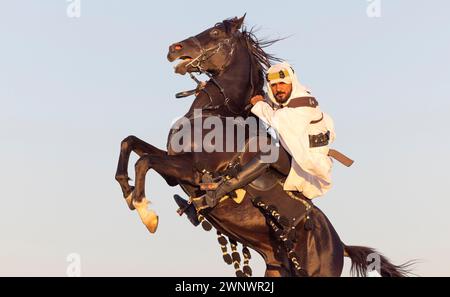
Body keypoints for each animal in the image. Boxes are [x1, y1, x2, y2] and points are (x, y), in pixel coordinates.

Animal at [115, 15, 412, 276]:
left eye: (215, 32)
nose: (173, 49)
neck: (216, 113)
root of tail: (340, 246)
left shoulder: (194, 171)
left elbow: (144, 161)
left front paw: (145, 211)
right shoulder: (174, 167)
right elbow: (129, 143)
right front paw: (128, 191)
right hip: (278, 269)